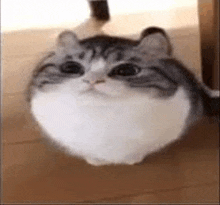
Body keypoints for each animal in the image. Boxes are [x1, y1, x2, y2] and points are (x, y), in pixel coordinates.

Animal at [28, 26, 219, 166]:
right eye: (71, 68)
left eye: (126, 70)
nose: (93, 80)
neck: (100, 116)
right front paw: (95, 160)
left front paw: (133, 159)